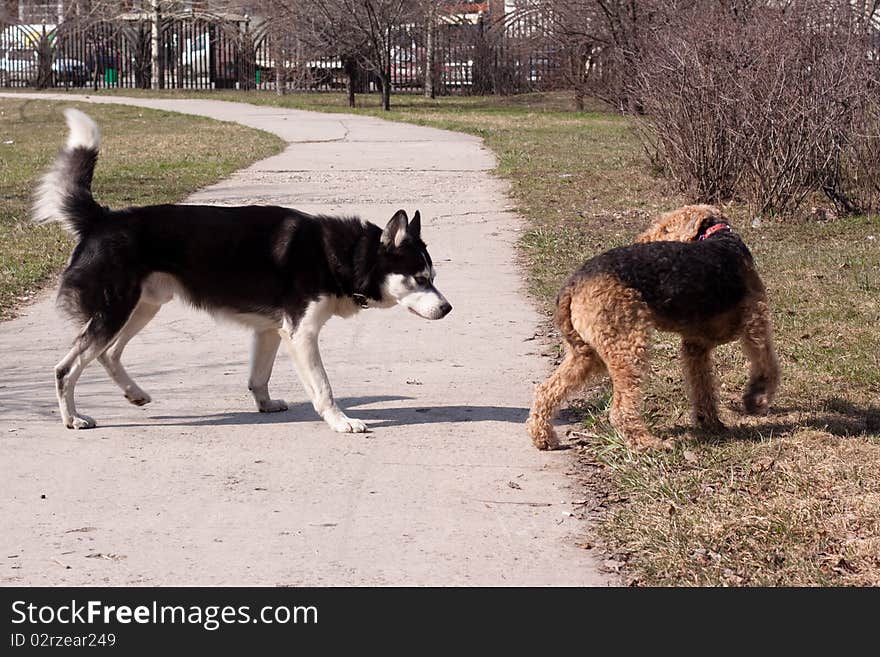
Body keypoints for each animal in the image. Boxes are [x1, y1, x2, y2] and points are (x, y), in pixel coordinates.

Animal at [524, 205, 780, 452]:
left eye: (665, 228)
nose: (642, 239)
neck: (719, 237)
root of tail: (573, 283)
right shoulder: (756, 321)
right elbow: (768, 364)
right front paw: (755, 399)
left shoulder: (695, 347)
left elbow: (703, 386)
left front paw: (710, 422)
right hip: (627, 347)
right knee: (621, 410)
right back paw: (649, 443)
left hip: (587, 353)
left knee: (546, 390)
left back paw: (543, 437)